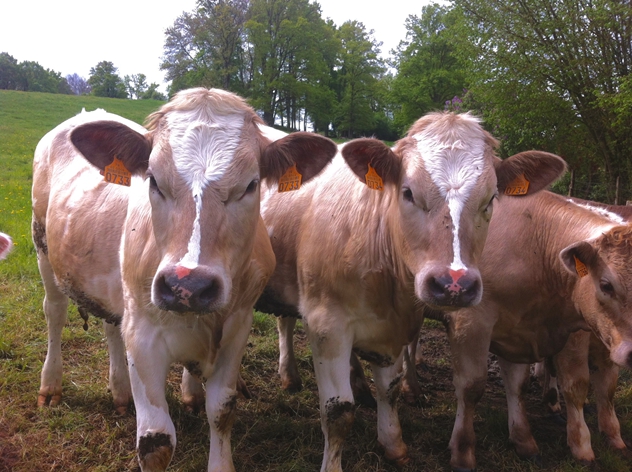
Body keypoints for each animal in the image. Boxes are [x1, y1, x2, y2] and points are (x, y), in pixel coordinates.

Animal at [30, 89, 336, 472]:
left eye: (251, 185)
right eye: (153, 180)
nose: (188, 286)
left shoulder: (238, 327)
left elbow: (222, 410)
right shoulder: (143, 334)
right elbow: (156, 440)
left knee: (111, 326)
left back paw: (121, 392)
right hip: (43, 248)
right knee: (54, 313)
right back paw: (50, 386)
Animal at [256, 112, 568, 470]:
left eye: (491, 199)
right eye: (407, 192)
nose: (454, 284)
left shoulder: (396, 326)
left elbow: (389, 390)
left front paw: (393, 444)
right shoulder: (326, 324)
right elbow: (338, 412)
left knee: (284, 320)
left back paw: (290, 377)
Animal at [442, 190, 632, 470]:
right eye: (606, 285)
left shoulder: (521, 331)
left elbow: (525, 385)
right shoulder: (471, 322)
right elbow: (471, 387)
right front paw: (462, 452)